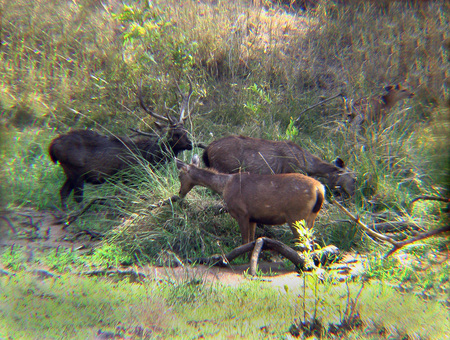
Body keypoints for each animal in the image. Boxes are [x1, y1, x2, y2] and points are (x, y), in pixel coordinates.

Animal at [49, 79, 197, 209]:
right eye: (175, 134)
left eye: (185, 130)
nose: (190, 144)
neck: (148, 157)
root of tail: (52, 146)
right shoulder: (129, 175)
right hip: (76, 170)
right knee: (77, 197)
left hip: (69, 172)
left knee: (63, 192)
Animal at [175, 155, 324, 246]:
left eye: (179, 175)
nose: (179, 193)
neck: (225, 186)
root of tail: (319, 189)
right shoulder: (253, 217)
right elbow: (251, 241)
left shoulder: (242, 212)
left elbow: (245, 241)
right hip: (311, 217)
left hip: (296, 216)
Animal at [201, 135, 356, 197]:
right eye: (355, 179)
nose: (353, 194)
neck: (309, 165)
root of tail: (207, 150)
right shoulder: (291, 170)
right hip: (224, 167)